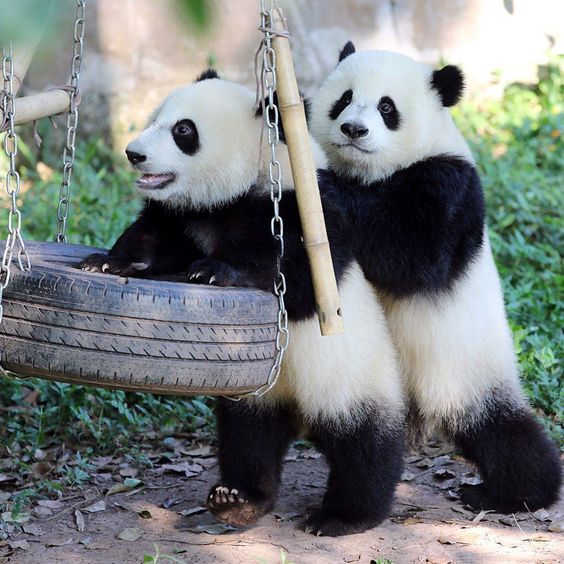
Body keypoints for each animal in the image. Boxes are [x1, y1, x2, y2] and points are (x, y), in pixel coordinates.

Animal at [78, 70, 406, 536]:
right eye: (156, 117)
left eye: (183, 131)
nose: (134, 153)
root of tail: (300, 413)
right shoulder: (186, 216)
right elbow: (154, 238)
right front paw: (107, 262)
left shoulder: (307, 213)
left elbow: (294, 271)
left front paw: (215, 271)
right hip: (253, 393)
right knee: (248, 438)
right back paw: (238, 499)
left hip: (354, 378)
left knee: (364, 443)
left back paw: (346, 515)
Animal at [310, 41, 560, 512]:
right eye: (344, 99)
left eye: (387, 107)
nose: (353, 130)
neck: (371, 173)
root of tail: (424, 410)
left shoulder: (449, 182)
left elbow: (415, 256)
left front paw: (323, 186)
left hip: (466, 367)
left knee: (501, 430)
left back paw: (518, 492)